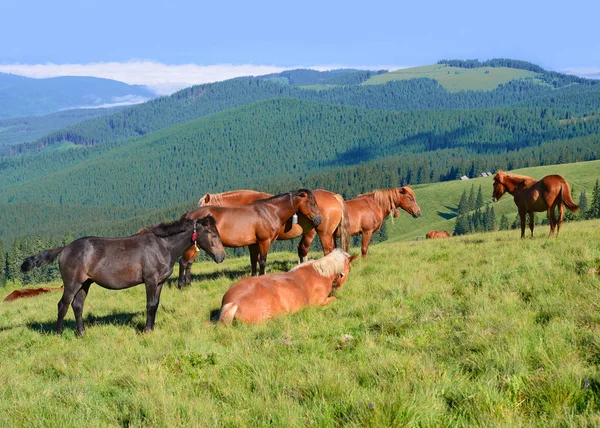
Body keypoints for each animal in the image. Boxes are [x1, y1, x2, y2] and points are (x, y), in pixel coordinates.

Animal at [20, 217, 225, 334]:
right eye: (210, 232)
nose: (221, 256)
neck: (162, 247)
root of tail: (65, 249)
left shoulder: (159, 282)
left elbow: (155, 305)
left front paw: (152, 328)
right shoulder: (150, 281)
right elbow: (150, 305)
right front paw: (147, 330)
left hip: (85, 283)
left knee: (77, 306)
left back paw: (81, 333)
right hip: (72, 283)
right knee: (62, 305)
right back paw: (59, 334)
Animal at [180, 188, 324, 282]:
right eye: (312, 203)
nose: (319, 219)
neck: (269, 211)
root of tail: (188, 215)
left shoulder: (254, 244)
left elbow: (254, 261)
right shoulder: (264, 242)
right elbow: (262, 261)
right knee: (184, 262)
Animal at [219, 249, 356, 326]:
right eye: (349, 269)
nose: (339, 288)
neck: (321, 274)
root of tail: (233, 303)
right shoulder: (319, 302)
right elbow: (334, 299)